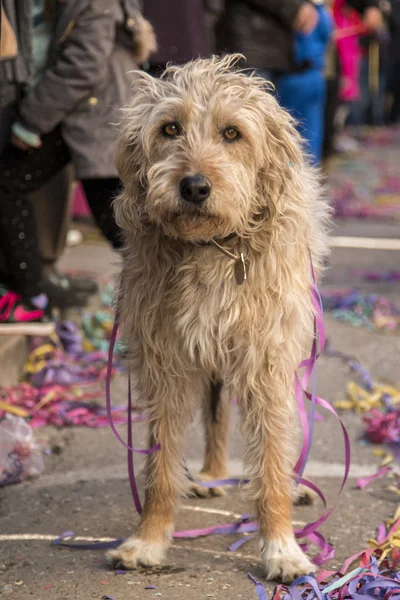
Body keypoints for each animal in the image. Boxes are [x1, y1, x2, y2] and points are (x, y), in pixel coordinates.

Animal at [108, 55, 330, 580]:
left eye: (233, 133)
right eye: (170, 128)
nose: (194, 185)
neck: (210, 248)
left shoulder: (266, 362)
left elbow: (270, 460)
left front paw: (282, 547)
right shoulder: (165, 362)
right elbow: (160, 467)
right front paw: (149, 540)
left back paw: (293, 483)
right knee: (214, 411)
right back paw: (209, 475)